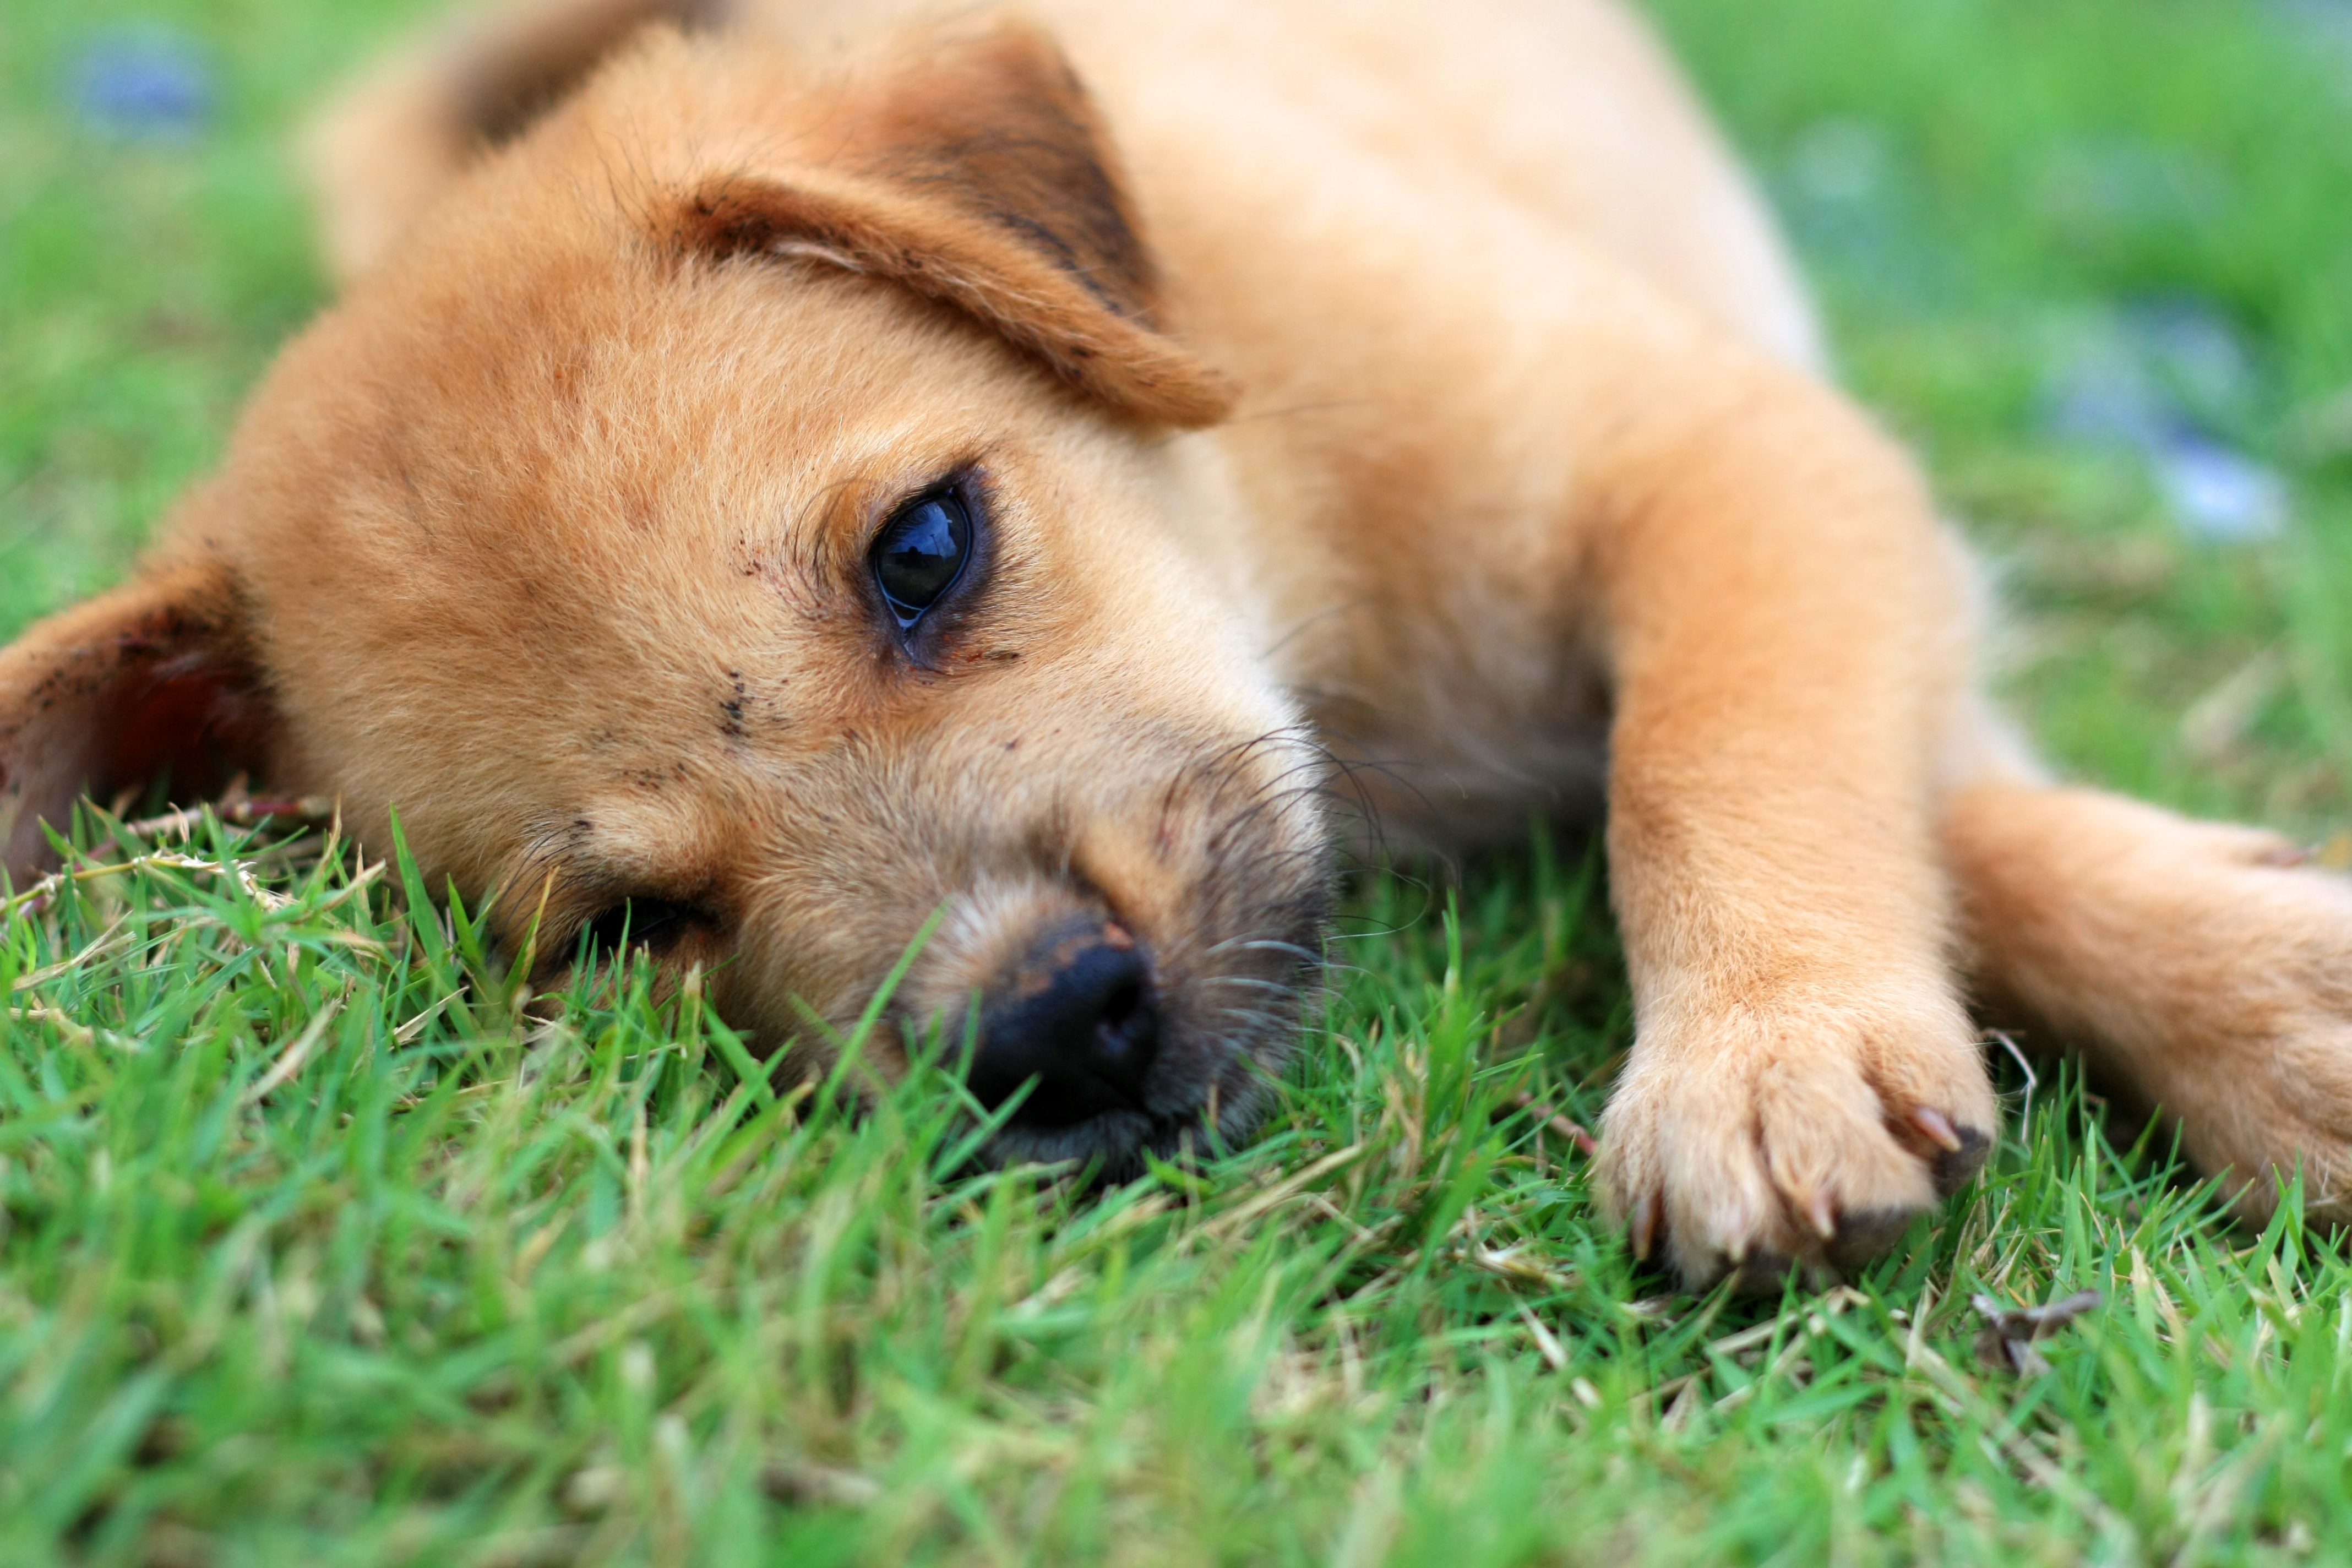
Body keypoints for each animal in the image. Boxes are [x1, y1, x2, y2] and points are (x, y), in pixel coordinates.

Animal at [4, 0, 2352, 1288]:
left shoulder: (1725, 452)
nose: (1053, 1028)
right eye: (629, 926)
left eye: (926, 548)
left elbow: (1726, 744)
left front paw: (1766, 1053)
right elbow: (1926, 801)